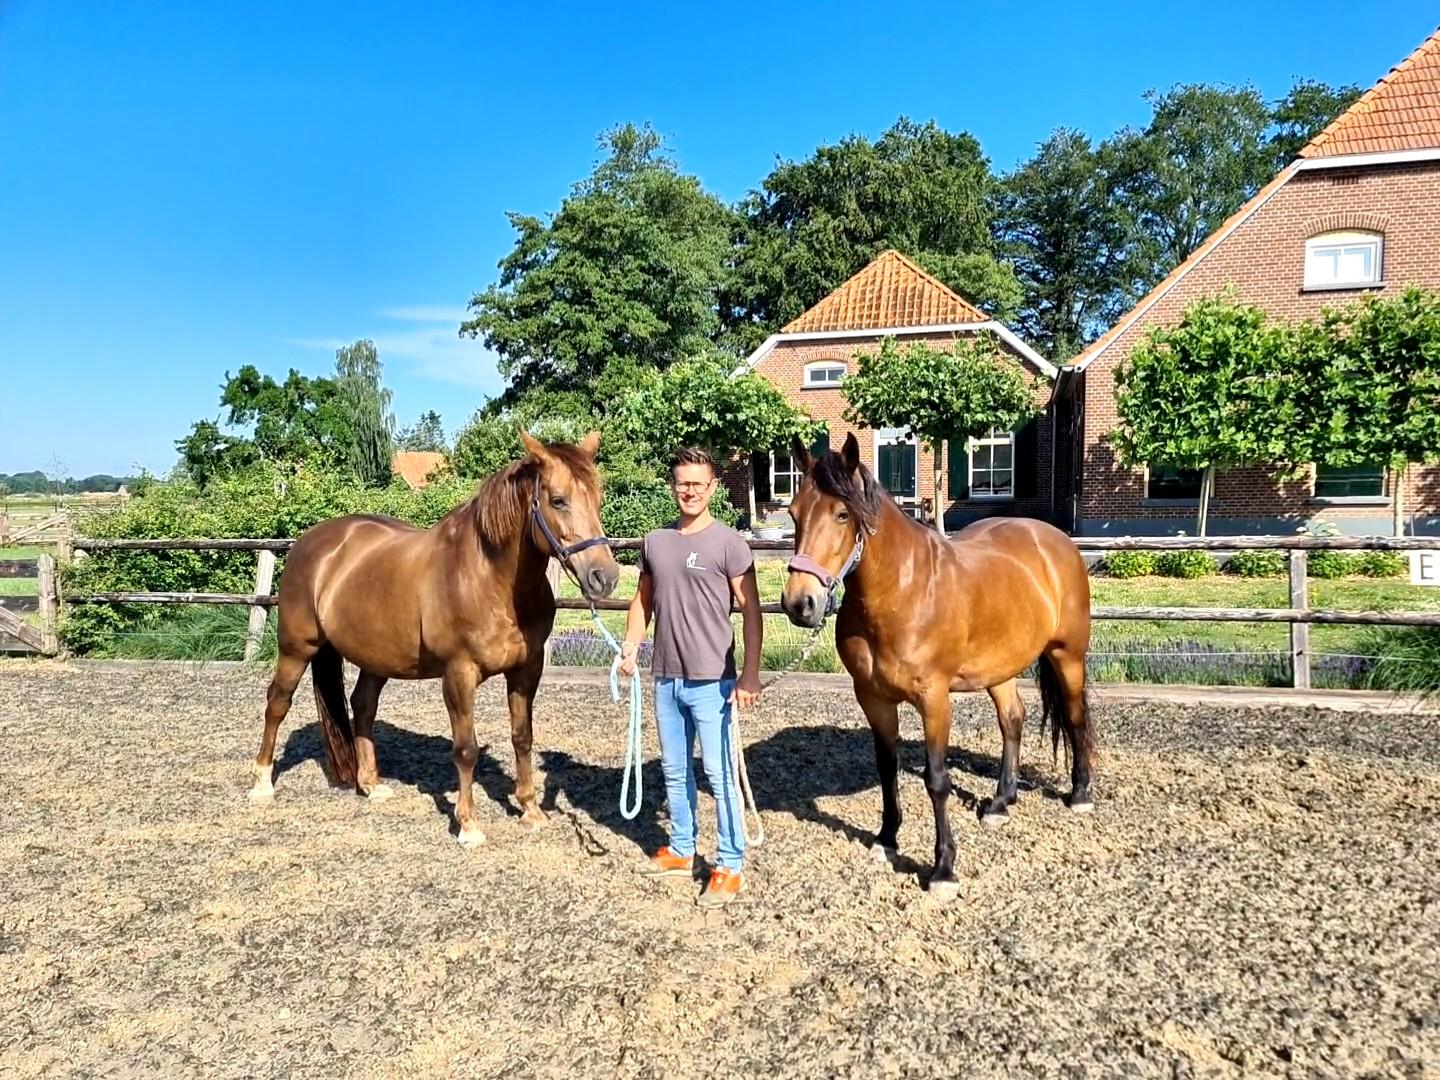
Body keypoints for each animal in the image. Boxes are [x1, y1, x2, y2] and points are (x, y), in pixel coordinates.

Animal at [248, 431, 621, 847]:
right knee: (277, 704)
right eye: (558, 500)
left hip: (376, 656)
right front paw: (468, 825)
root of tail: (309, 543)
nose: (604, 577)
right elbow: (466, 749)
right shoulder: (459, 674)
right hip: (296, 649)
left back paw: (370, 784)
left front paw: (530, 810)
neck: (488, 580)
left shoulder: (527, 669)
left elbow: (522, 736)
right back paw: (262, 783)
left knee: (362, 706)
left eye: (598, 498)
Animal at [780, 432, 1094, 901]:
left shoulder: (934, 701)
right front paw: (887, 840)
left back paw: (1080, 793)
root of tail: (1056, 541)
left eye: (842, 514)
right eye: (793, 512)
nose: (800, 604)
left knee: (1074, 717)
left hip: (1067, 656)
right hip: (999, 668)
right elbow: (887, 768)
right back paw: (1001, 802)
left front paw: (943, 869)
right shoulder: (873, 698)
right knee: (1012, 719)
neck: (902, 592)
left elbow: (937, 780)